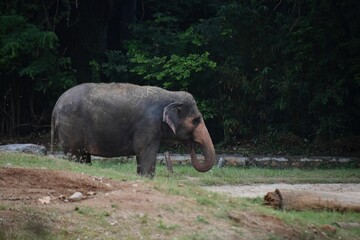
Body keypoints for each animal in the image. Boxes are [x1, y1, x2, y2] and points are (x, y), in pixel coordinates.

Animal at [51, 82, 215, 176]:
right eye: (196, 120)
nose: (192, 145)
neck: (171, 94)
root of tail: (55, 106)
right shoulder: (148, 125)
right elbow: (144, 152)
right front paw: (146, 178)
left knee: (84, 157)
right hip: (71, 127)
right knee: (76, 155)